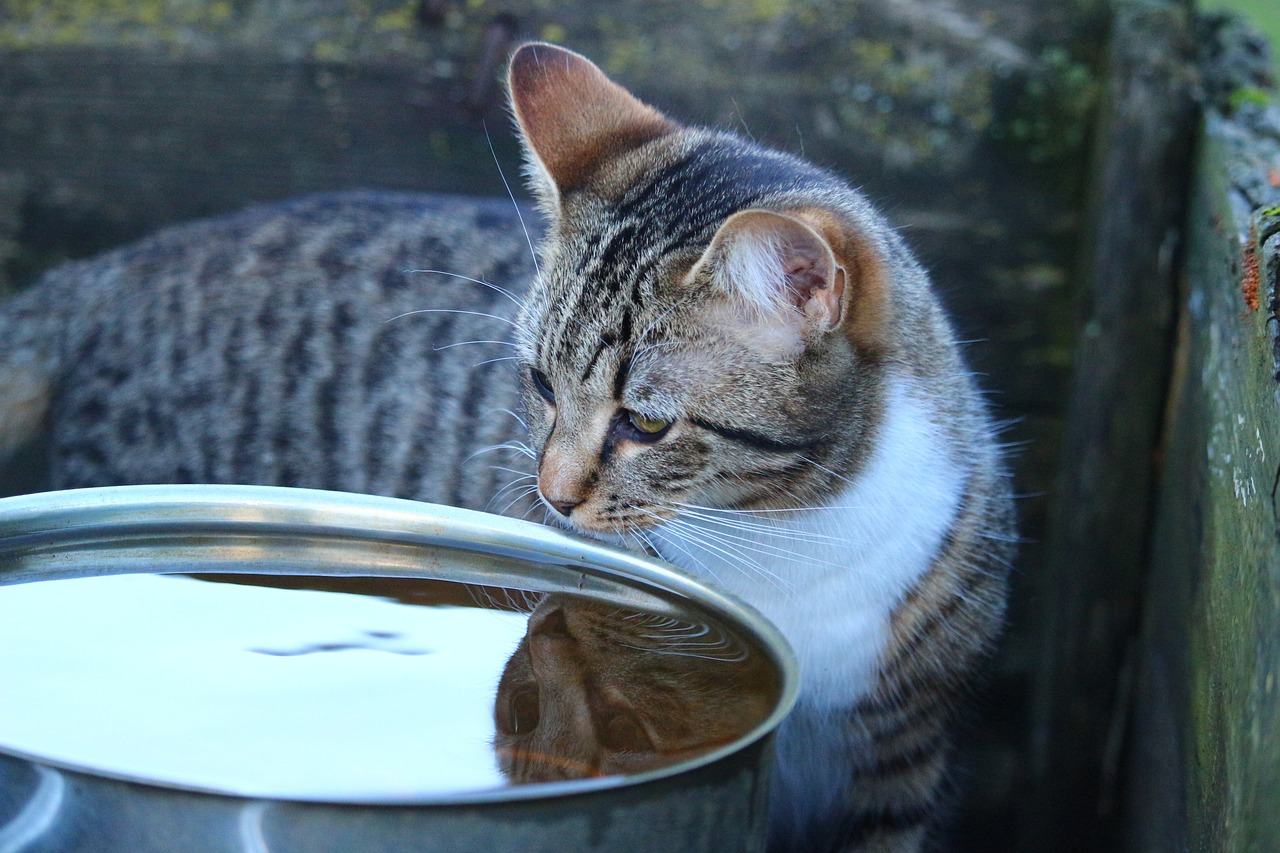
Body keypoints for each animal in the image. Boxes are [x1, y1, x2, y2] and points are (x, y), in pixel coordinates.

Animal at [2, 43, 1018, 850]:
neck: (786, 531)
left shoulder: (900, 756)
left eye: (648, 423)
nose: (554, 494)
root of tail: (111, 269)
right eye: (539, 385)